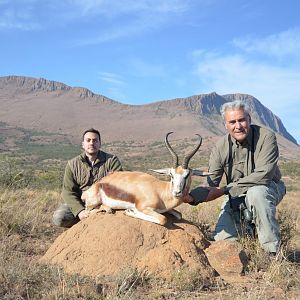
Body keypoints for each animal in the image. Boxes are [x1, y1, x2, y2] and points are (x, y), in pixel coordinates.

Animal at [81, 132, 210, 225]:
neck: (160, 192)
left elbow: (179, 215)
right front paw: (130, 211)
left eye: (187, 175)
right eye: (171, 175)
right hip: (92, 204)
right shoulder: (143, 207)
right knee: (87, 212)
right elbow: (163, 219)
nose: (177, 192)